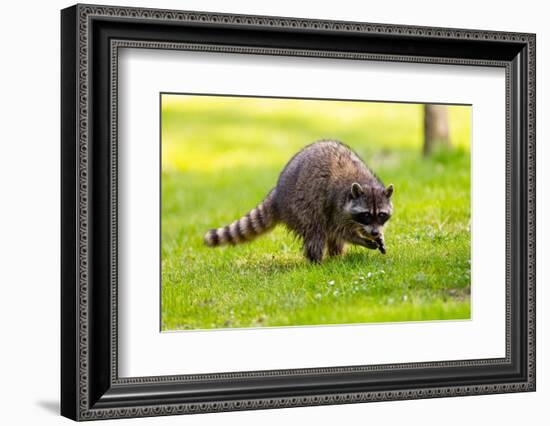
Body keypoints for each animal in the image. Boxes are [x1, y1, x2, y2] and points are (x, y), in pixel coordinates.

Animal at [205, 140, 394, 262]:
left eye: (381, 215)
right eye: (366, 215)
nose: (375, 233)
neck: (365, 182)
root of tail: (278, 193)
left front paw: (377, 236)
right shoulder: (336, 206)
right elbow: (341, 231)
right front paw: (361, 240)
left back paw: (336, 256)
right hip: (300, 206)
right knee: (316, 230)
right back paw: (316, 262)